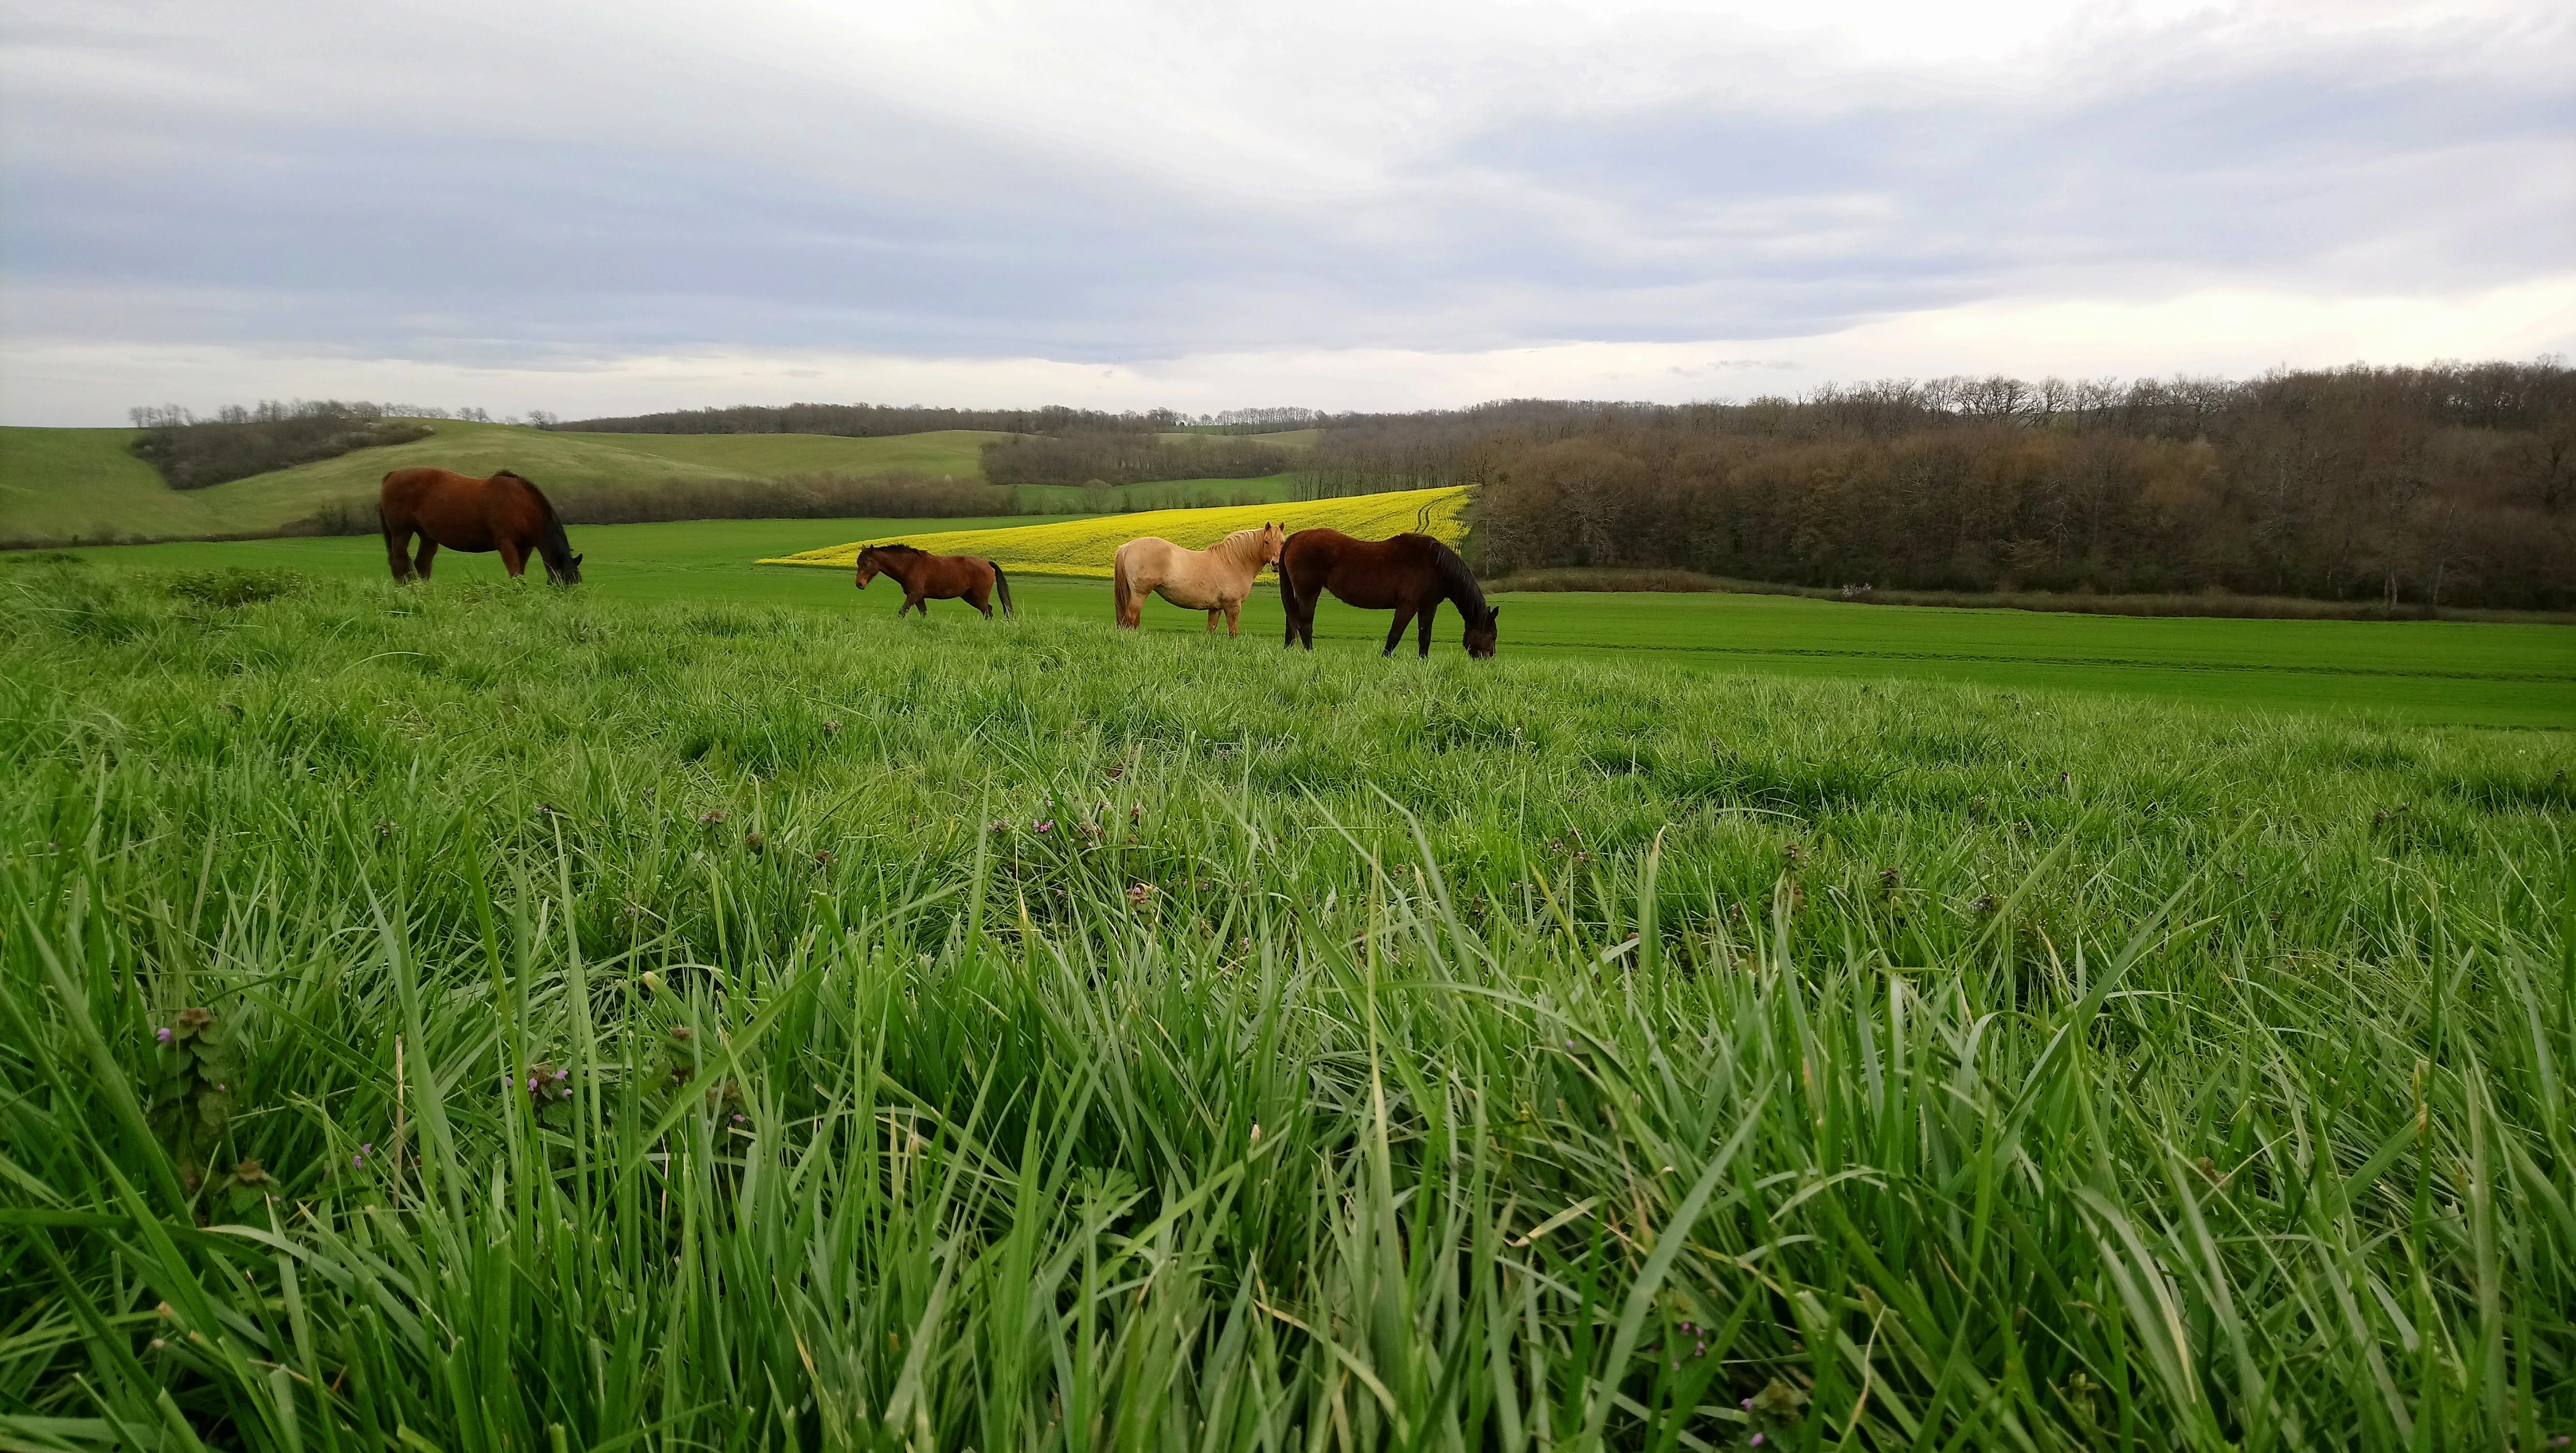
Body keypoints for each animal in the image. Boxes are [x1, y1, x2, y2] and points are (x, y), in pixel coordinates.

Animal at [378, 468, 583, 585]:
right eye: (565, 583)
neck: (521, 505)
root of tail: (392, 476)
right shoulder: (506, 544)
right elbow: (515, 575)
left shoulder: (525, 548)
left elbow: (520, 575)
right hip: (401, 532)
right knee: (398, 562)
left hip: (428, 536)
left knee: (422, 564)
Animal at [853, 543, 1014, 619]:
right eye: (858, 563)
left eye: (866, 563)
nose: (859, 584)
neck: (910, 565)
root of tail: (987, 563)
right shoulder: (919, 598)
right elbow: (924, 614)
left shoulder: (914, 595)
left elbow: (902, 612)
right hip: (970, 597)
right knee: (988, 610)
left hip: (979, 597)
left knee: (988, 612)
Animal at [1111, 523, 1285, 636]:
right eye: (1266, 542)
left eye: (1282, 542)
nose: (1276, 564)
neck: (1234, 562)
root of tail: (1127, 547)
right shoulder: (1233, 607)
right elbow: (1233, 632)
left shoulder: (1215, 608)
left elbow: (1211, 629)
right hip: (1140, 594)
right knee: (1131, 618)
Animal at [1277, 529, 1499, 658]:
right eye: (1493, 634)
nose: (1490, 658)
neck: (1436, 565)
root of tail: (1295, 538)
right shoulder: (1408, 605)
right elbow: (1395, 635)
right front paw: (1385, 659)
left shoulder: (1429, 606)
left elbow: (1425, 636)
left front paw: (1423, 662)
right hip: (1308, 593)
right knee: (1305, 624)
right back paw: (1310, 654)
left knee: (1292, 620)